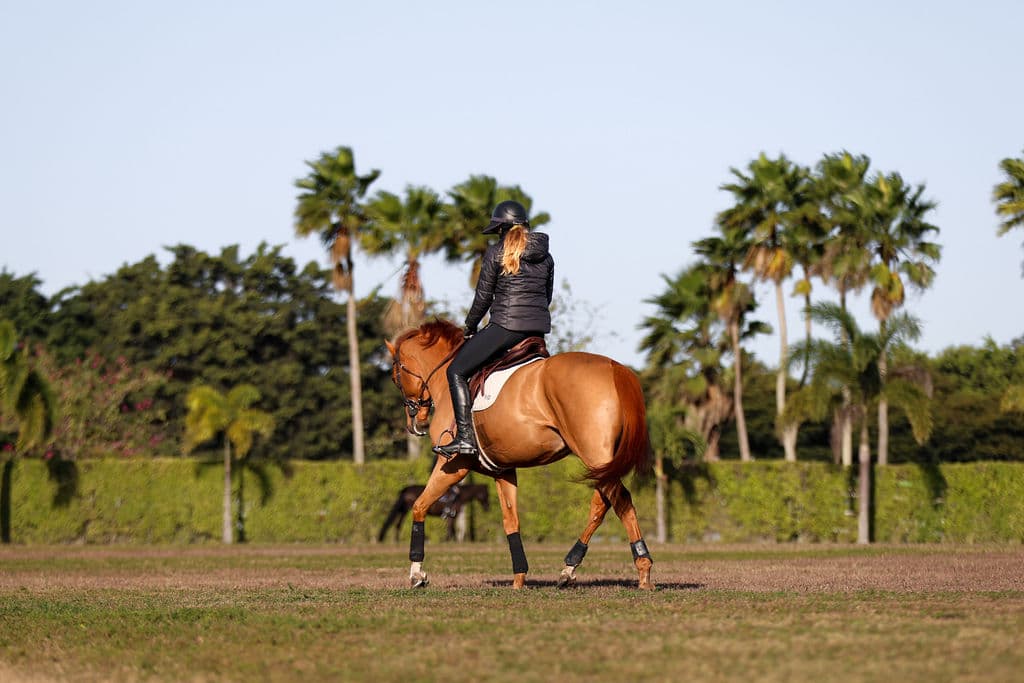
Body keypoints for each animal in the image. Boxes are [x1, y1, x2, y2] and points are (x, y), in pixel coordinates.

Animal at [386, 319, 654, 590]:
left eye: (396, 377)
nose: (414, 424)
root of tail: (616, 368)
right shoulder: (503, 470)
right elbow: (510, 520)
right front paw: (519, 577)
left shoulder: (453, 465)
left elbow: (419, 505)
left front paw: (416, 574)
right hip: (601, 461)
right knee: (602, 504)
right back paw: (569, 568)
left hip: (594, 456)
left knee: (621, 500)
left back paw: (642, 569)